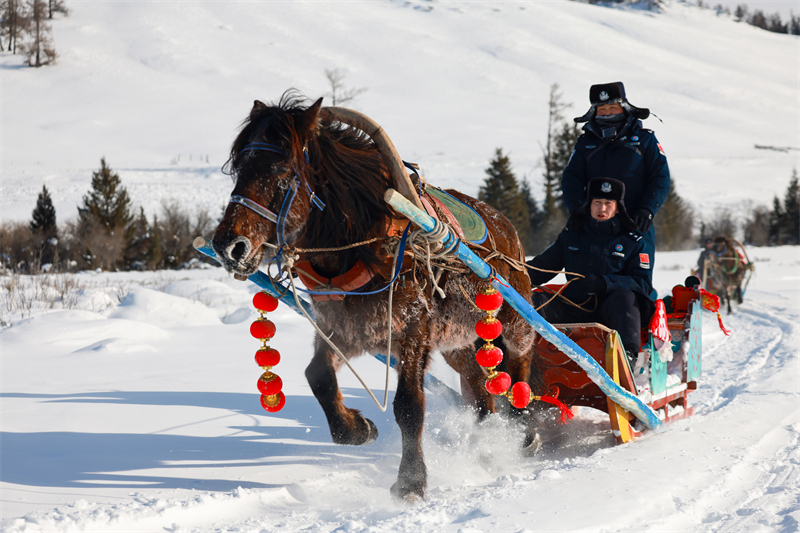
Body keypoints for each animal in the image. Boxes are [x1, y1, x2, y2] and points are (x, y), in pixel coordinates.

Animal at [209, 93, 540, 500]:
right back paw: (488, 445)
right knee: (480, 390)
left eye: (282, 170)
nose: (228, 246)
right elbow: (318, 375)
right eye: (239, 168)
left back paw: (522, 429)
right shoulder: (345, 329)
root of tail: (505, 224)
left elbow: (409, 405)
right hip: (458, 342)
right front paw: (356, 428)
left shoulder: (413, 331)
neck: (363, 244)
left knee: (520, 360)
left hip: (512, 318)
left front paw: (411, 480)